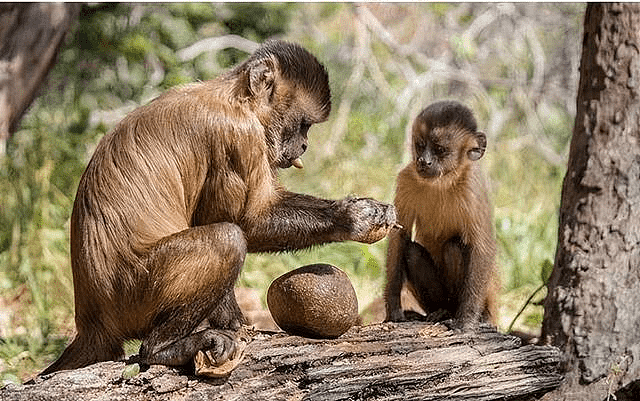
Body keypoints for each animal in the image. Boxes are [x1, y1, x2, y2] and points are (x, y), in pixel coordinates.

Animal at [41, 39, 396, 374]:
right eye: (304, 124)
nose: (305, 145)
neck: (234, 98)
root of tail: (91, 320)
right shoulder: (237, 135)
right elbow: (244, 222)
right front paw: (353, 217)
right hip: (132, 295)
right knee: (227, 237)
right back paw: (161, 349)